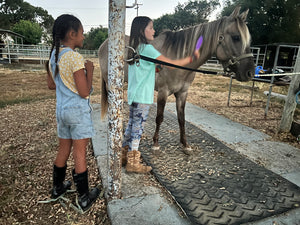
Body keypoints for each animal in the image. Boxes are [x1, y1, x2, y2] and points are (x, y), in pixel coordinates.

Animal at [98, 6, 255, 151]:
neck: (176, 59)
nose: (250, 73)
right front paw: (155, 143)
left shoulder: (182, 93)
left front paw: (185, 144)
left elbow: (182, 119)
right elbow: (159, 117)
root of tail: (105, 44)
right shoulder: (163, 92)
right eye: (236, 37)